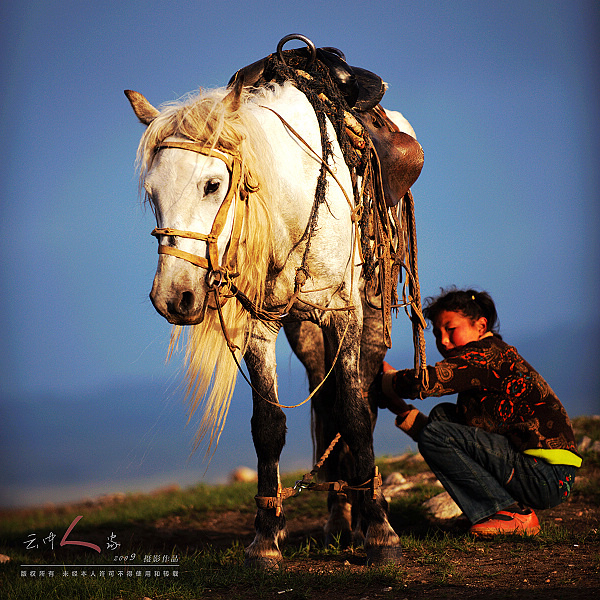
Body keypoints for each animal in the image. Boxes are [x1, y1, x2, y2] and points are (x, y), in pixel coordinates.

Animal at [125, 71, 420, 568]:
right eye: (152, 193)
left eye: (212, 184)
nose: (173, 298)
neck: (294, 202)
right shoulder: (260, 326)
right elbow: (268, 427)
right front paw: (265, 539)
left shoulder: (344, 314)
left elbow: (356, 415)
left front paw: (382, 535)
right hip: (305, 329)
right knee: (323, 397)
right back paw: (338, 517)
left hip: (373, 311)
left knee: (361, 395)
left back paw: (362, 516)